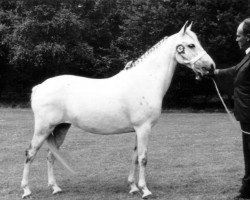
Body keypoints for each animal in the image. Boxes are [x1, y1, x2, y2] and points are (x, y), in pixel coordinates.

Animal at [21, 21, 215, 198]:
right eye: (191, 45)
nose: (210, 67)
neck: (145, 81)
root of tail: (39, 87)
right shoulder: (144, 128)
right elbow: (143, 158)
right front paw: (145, 190)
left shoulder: (138, 130)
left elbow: (134, 157)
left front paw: (133, 187)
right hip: (43, 129)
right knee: (30, 153)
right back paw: (26, 190)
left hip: (60, 128)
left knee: (51, 155)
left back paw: (55, 188)